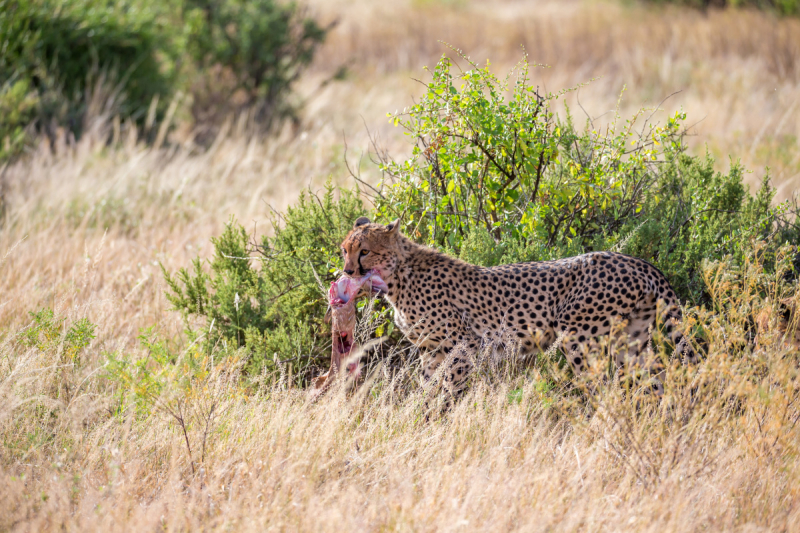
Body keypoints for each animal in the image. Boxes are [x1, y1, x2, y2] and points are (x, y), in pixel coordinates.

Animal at [340, 215, 696, 394]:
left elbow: (448, 391)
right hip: (632, 341)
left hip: (581, 339)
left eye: (365, 251)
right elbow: (428, 387)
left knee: (605, 388)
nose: (347, 271)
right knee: (655, 381)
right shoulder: (432, 350)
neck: (399, 277)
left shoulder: (461, 346)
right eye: (345, 249)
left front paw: (438, 420)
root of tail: (637, 261)